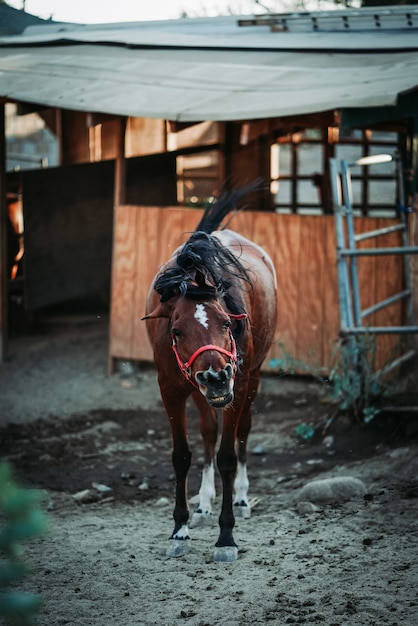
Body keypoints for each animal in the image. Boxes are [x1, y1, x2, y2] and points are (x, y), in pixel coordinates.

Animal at [144, 189, 278, 560]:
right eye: (176, 331)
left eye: (227, 323)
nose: (216, 377)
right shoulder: (170, 390)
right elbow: (181, 456)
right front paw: (180, 530)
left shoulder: (237, 386)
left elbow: (228, 456)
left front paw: (226, 537)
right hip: (199, 391)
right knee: (207, 432)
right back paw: (203, 503)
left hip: (249, 379)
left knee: (243, 431)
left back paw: (242, 498)